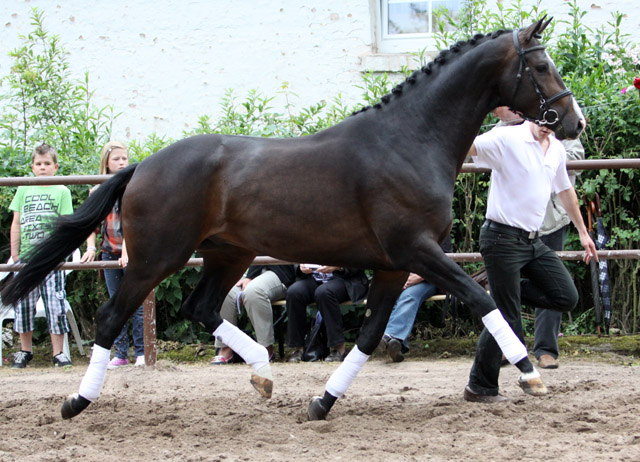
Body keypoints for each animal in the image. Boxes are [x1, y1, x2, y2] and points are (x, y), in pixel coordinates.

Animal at [3, 18, 584, 420]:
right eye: (539, 66)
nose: (573, 121)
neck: (408, 140)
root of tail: (143, 164)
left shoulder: (395, 265)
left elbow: (369, 335)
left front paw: (322, 403)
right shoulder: (418, 250)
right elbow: (484, 299)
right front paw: (530, 374)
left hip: (227, 254)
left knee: (200, 307)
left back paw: (262, 374)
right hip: (154, 260)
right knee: (111, 319)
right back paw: (76, 402)